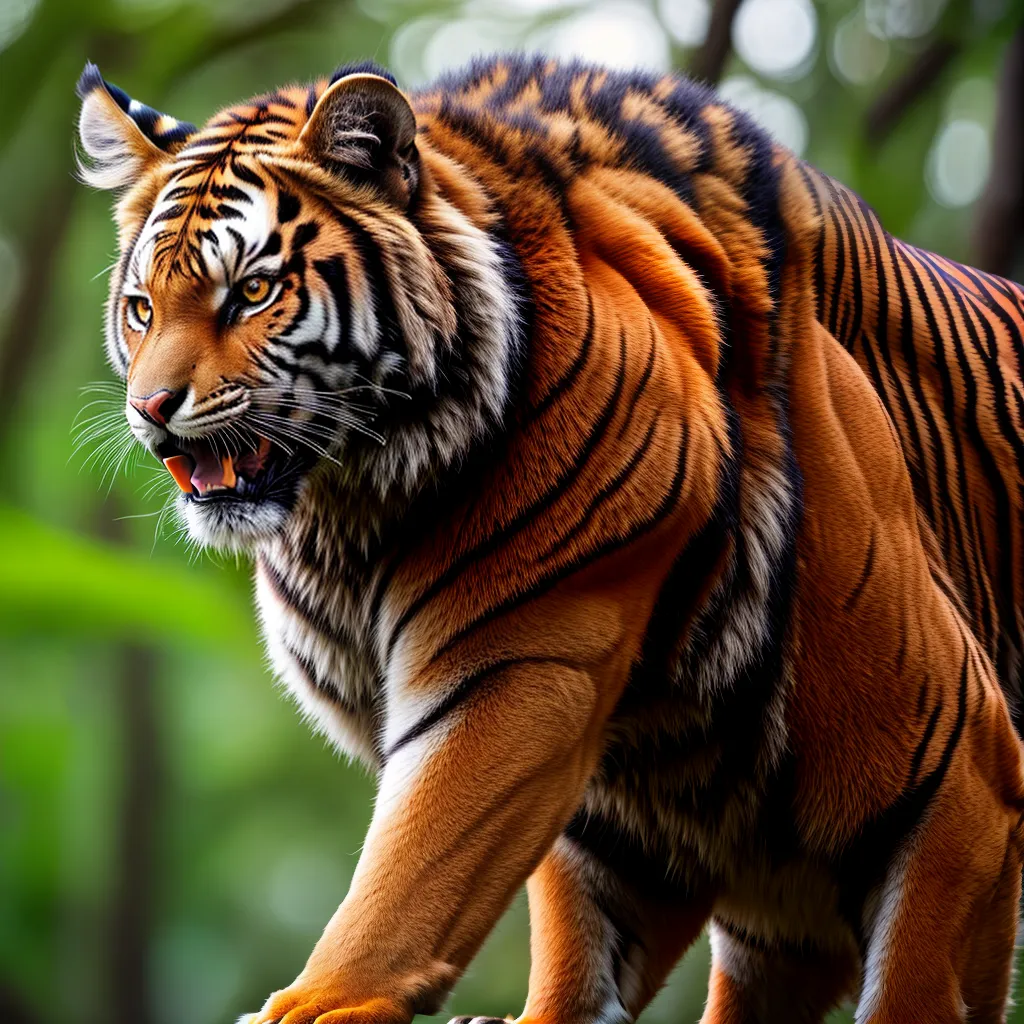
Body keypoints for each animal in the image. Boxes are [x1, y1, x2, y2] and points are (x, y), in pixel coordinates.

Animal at [75, 53, 1024, 1023]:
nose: (152, 408)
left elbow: (419, 865)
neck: (349, 512)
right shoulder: (618, 817)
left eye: (253, 292)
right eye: (143, 308)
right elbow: (566, 950)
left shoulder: (518, 666)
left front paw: (321, 1001)